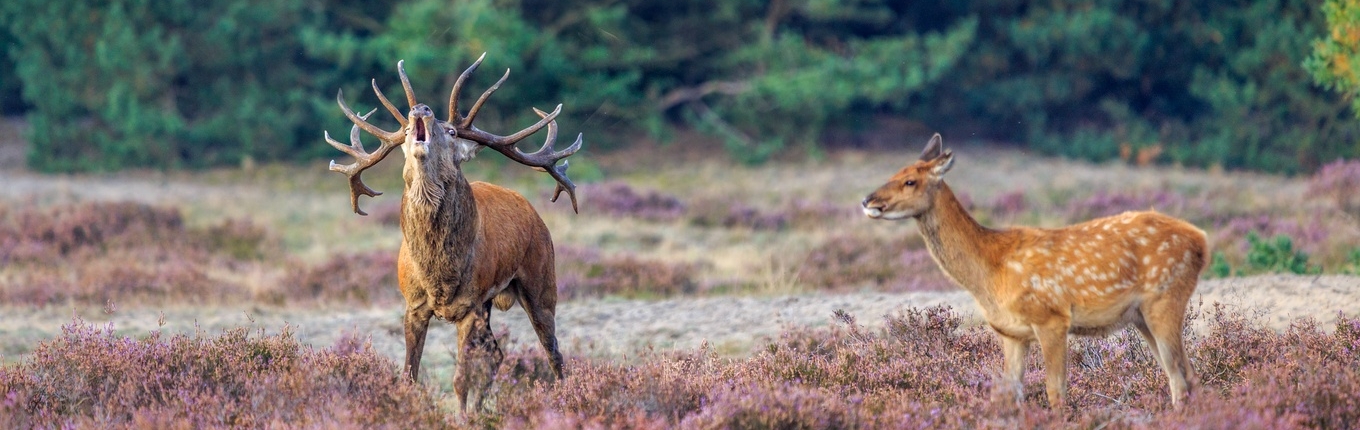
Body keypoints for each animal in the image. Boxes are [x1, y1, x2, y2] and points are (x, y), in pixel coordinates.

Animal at [323, 55, 579, 410]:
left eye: (452, 130)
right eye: (406, 131)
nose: (421, 109)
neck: (439, 274)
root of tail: (533, 212)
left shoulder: (469, 305)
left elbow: (460, 379)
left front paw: (461, 416)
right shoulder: (414, 305)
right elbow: (409, 374)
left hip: (541, 280)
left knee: (554, 353)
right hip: (490, 303)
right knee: (497, 355)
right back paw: (483, 408)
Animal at [864, 134, 1207, 410]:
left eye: (911, 181)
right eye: (894, 172)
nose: (868, 200)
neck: (990, 271)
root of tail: (1201, 240)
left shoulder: (1051, 317)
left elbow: (1055, 392)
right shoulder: (1011, 332)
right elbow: (1011, 392)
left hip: (1165, 296)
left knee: (1181, 376)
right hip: (1140, 315)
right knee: (1184, 375)